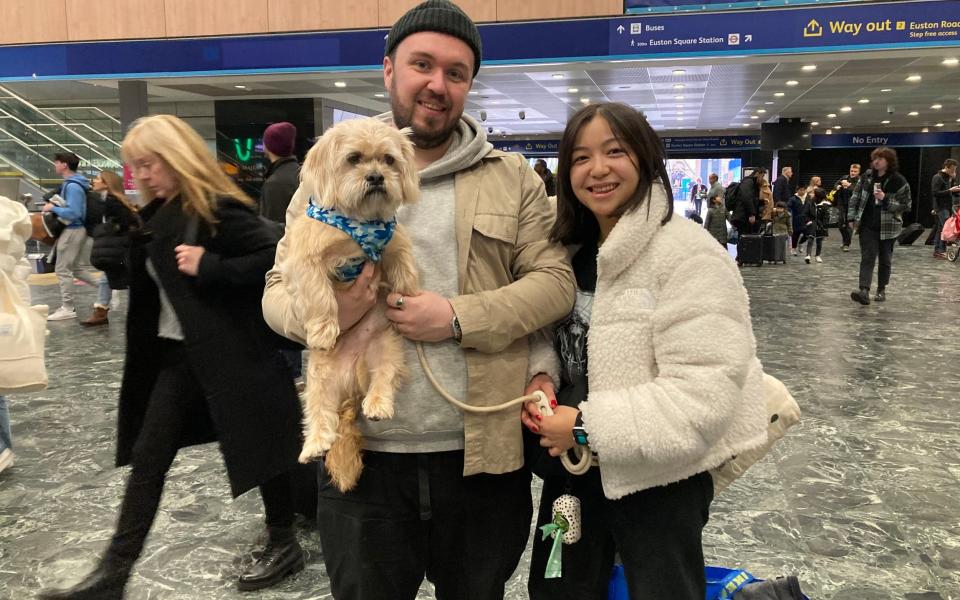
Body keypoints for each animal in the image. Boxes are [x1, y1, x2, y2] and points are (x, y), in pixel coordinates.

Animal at [280, 118, 418, 492]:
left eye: (388, 160)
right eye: (354, 159)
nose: (376, 177)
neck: (360, 223)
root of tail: (352, 388)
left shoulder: (394, 244)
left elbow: (406, 268)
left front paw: (412, 294)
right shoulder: (306, 260)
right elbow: (319, 295)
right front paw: (324, 329)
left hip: (386, 350)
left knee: (384, 380)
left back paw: (377, 404)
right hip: (317, 380)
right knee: (319, 415)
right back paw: (314, 444)